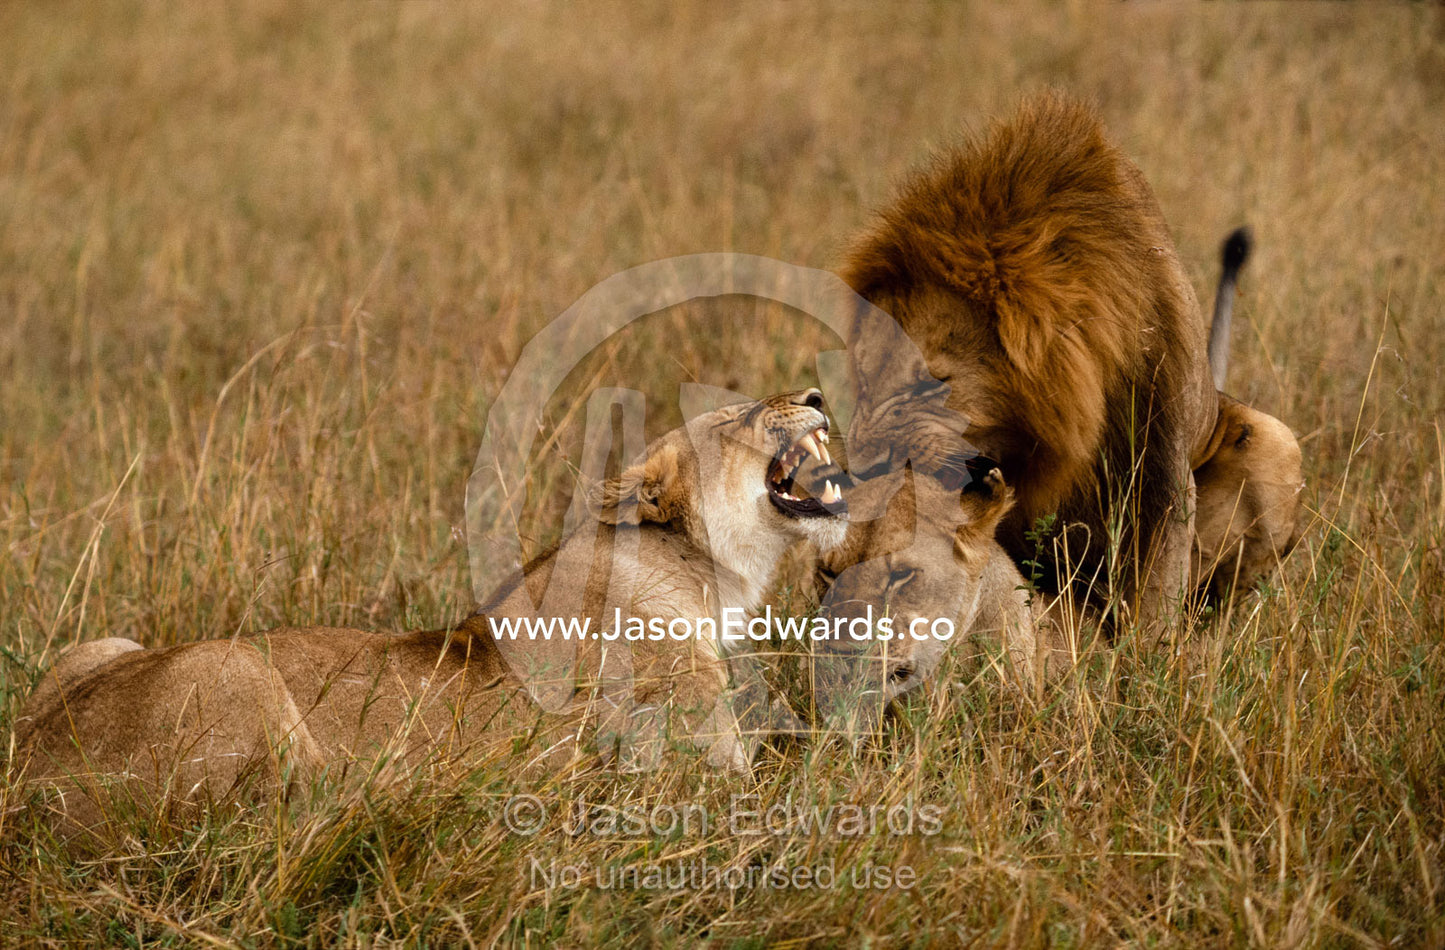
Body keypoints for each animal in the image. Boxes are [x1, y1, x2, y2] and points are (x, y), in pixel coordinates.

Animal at [13, 389, 848, 837]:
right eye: (738, 415)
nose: (814, 396)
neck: (701, 571)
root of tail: (24, 785)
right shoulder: (705, 778)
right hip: (237, 671)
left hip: (98, 645)